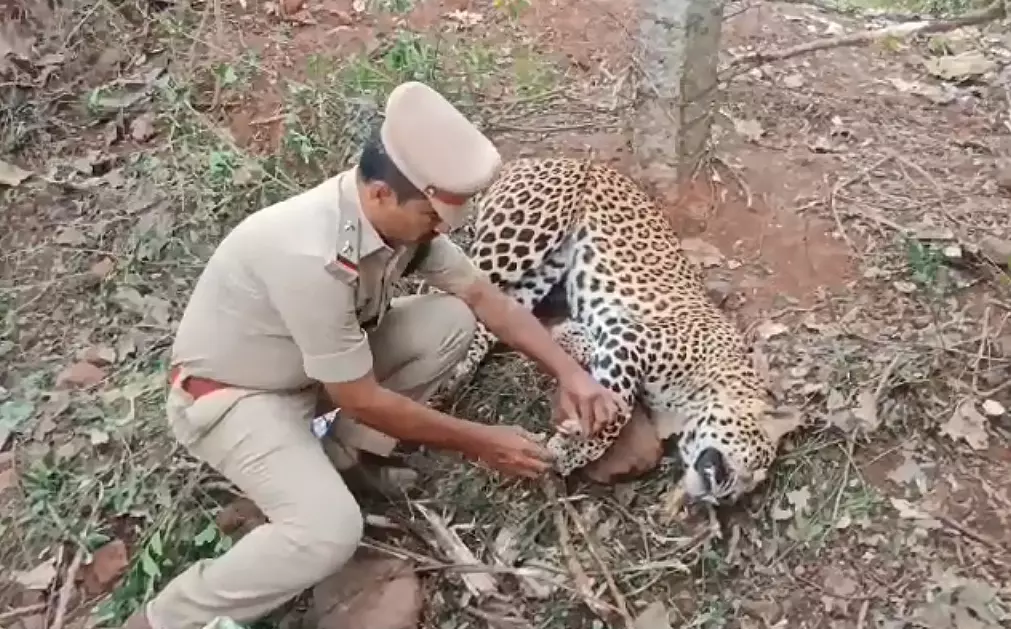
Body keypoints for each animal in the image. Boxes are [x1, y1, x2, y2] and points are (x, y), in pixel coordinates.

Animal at [437, 156, 804, 510]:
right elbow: (617, 409)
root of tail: (535, 159)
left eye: (747, 490)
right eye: (753, 465)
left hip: (542, 272)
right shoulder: (632, 340)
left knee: (490, 311)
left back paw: (459, 370)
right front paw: (567, 449)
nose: (724, 499)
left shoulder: (615, 336)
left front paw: (568, 340)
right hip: (524, 235)